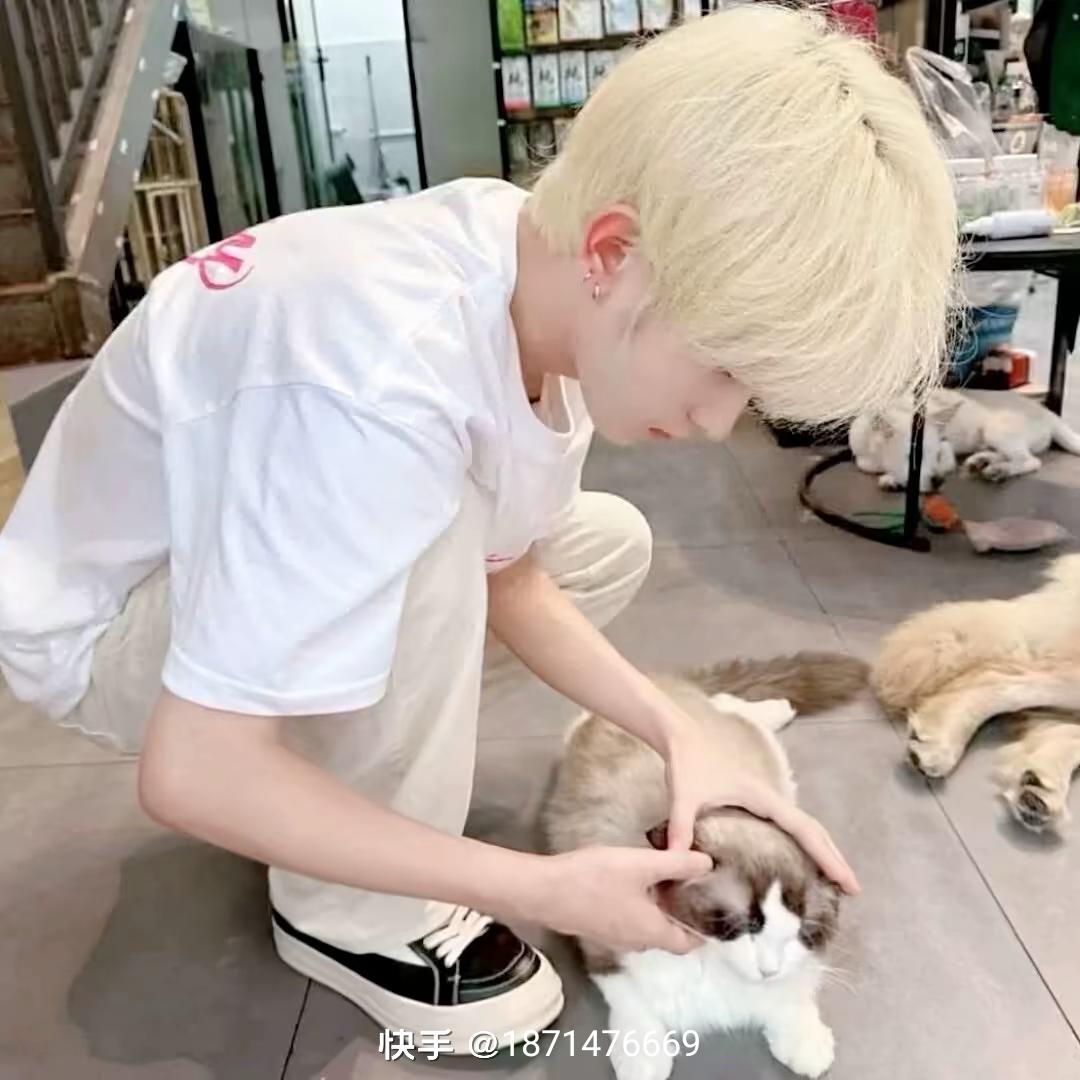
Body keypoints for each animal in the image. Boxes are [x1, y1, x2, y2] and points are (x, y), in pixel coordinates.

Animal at [542, 652, 868, 1080]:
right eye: (743, 925)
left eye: (802, 932)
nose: (768, 969)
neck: (715, 965)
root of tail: (661, 684)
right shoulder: (604, 946)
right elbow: (632, 1005)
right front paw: (643, 1058)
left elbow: (793, 994)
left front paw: (805, 1042)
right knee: (731, 702)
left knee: (734, 704)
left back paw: (778, 708)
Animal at [849, 388, 1080, 492]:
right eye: (913, 456)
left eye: (937, 455)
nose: (938, 481)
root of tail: (1048, 412)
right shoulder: (862, 453)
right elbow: (864, 464)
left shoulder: (946, 446)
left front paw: (891, 478)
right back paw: (982, 461)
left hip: (995, 429)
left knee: (1030, 461)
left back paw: (999, 470)